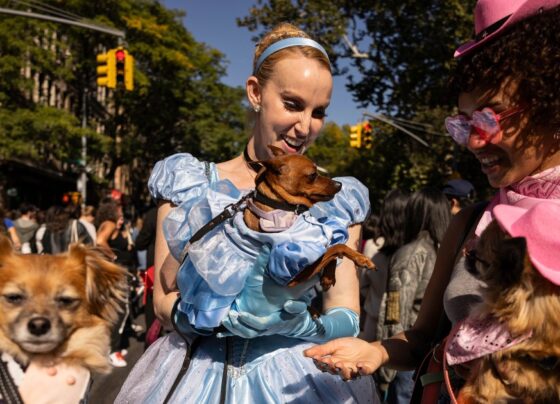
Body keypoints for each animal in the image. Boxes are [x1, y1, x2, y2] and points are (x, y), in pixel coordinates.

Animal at [243, 145, 374, 290]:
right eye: (312, 175)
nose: (339, 184)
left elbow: (332, 249)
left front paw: (328, 277)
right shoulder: (293, 275)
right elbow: (336, 247)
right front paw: (361, 258)